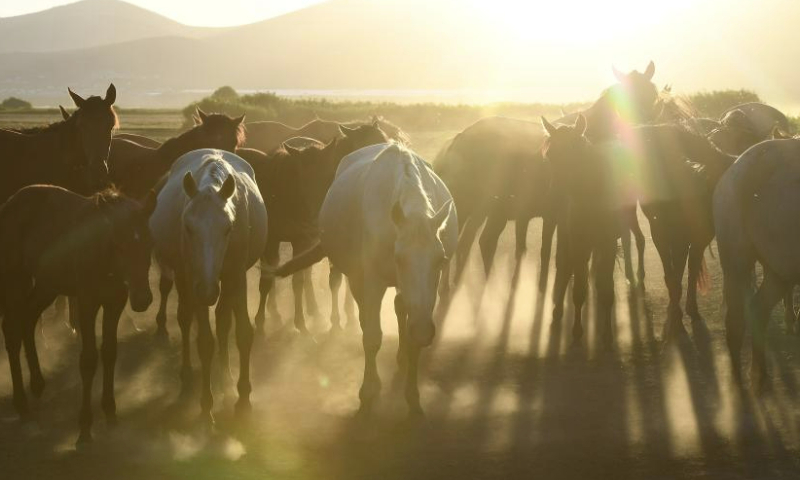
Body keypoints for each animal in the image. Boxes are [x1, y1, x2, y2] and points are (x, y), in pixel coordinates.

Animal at [0, 185, 155, 442]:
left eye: (149, 243)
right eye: (118, 243)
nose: (143, 299)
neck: (103, 255)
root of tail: (10, 203)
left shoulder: (115, 303)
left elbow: (110, 352)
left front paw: (110, 413)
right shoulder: (87, 303)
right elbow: (88, 359)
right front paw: (84, 426)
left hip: (48, 285)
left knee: (28, 319)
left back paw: (38, 384)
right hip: (15, 280)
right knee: (12, 331)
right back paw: (22, 407)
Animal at [147, 148, 266, 422]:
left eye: (228, 228)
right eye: (188, 227)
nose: (208, 291)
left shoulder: (236, 276)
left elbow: (242, 332)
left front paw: (243, 399)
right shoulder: (194, 279)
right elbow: (204, 341)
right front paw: (205, 406)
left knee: (222, 321)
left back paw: (226, 380)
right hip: (185, 279)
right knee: (185, 319)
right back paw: (188, 378)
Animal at [276, 142, 454, 416]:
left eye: (440, 260)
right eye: (399, 259)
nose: (425, 332)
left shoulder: (424, 301)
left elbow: (411, 332)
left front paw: (412, 396)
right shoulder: (371, 284)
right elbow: (371, 337)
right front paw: (369, 391)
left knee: (400, 308)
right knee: (365, 318)